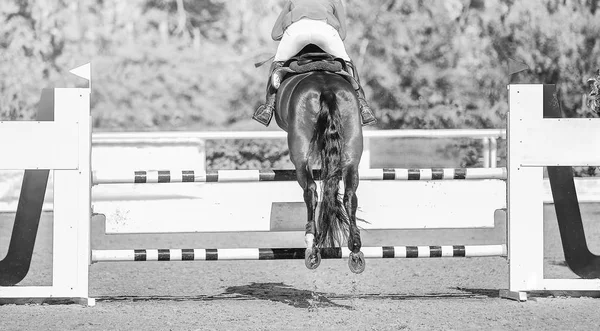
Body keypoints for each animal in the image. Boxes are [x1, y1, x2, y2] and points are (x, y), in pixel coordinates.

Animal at [274, 45, 366, 274]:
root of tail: (326, 89)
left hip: (300, 153)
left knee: (310, 191)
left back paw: (312, 246)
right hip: (352, 149)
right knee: (349, 194)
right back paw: (355, 251)